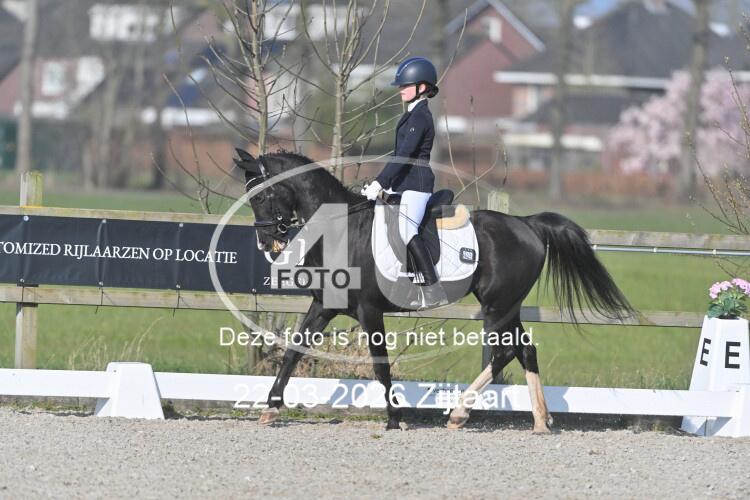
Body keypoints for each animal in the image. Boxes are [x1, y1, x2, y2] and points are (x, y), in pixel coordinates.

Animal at [234, 149, 634, 432]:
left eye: (262, 196)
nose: (266, 243)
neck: (341, 228)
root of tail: (527, 224)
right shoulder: (325, 306)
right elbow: (292, 352)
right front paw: (270, 408)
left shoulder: (369, 310)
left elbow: (380, 365)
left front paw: (395, 418)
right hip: (508, 306)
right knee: (525, 350)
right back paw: (540, 421)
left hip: (497, 306)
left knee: (505, 353)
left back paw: (459, 414)